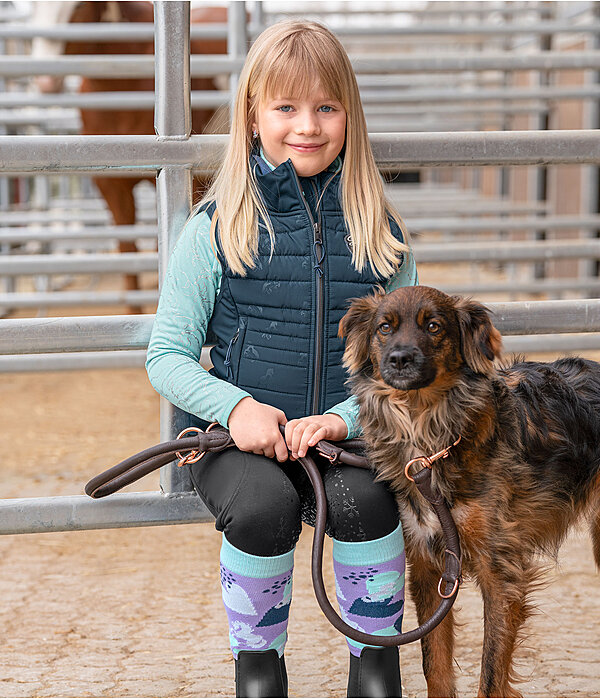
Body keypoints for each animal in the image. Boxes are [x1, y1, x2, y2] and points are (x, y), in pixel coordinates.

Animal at [338, 286, 600, 700]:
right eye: (384, 328)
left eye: (433, 326)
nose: (399, 359)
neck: (430, 439)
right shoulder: (429, 566)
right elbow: (435, 665)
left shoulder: (502, 572)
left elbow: (490, 674)